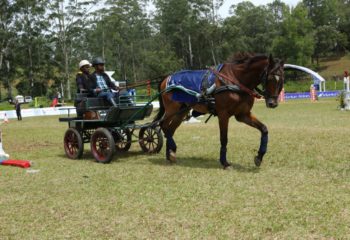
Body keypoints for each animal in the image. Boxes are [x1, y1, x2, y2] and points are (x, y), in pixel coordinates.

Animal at [153, 53, 284, 169]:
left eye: (281, 80)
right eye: (270, 78)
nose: (273, 103)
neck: (236, 79)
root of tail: (167, 77)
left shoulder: (243, 115)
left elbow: (264, 129)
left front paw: (259, 156)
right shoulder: (223, 114)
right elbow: (224, 138)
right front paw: (225, 162)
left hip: (181, 111)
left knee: (170, 129)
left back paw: (170, 154)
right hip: (172, 109)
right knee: (163, 125)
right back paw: (171, 151)